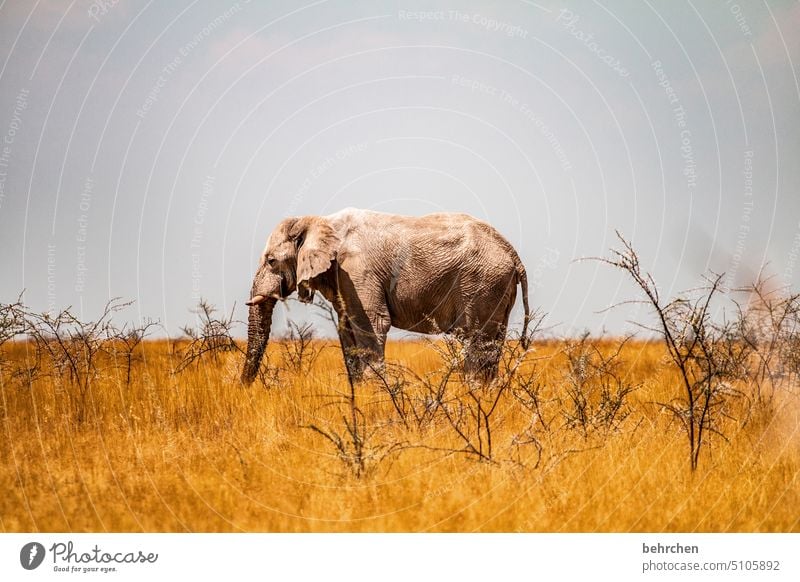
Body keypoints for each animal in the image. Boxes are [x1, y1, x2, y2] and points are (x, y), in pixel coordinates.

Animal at [242, 210, 532, 388]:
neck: (318, 221)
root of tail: (513, 254)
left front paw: (374, 392)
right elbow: (347, 330)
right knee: (491, 342)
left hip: (483, 282)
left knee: (476, 338)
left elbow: (372, 324)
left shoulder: (357, 271)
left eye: (271, 261)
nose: (244, 388)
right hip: (496, 287)